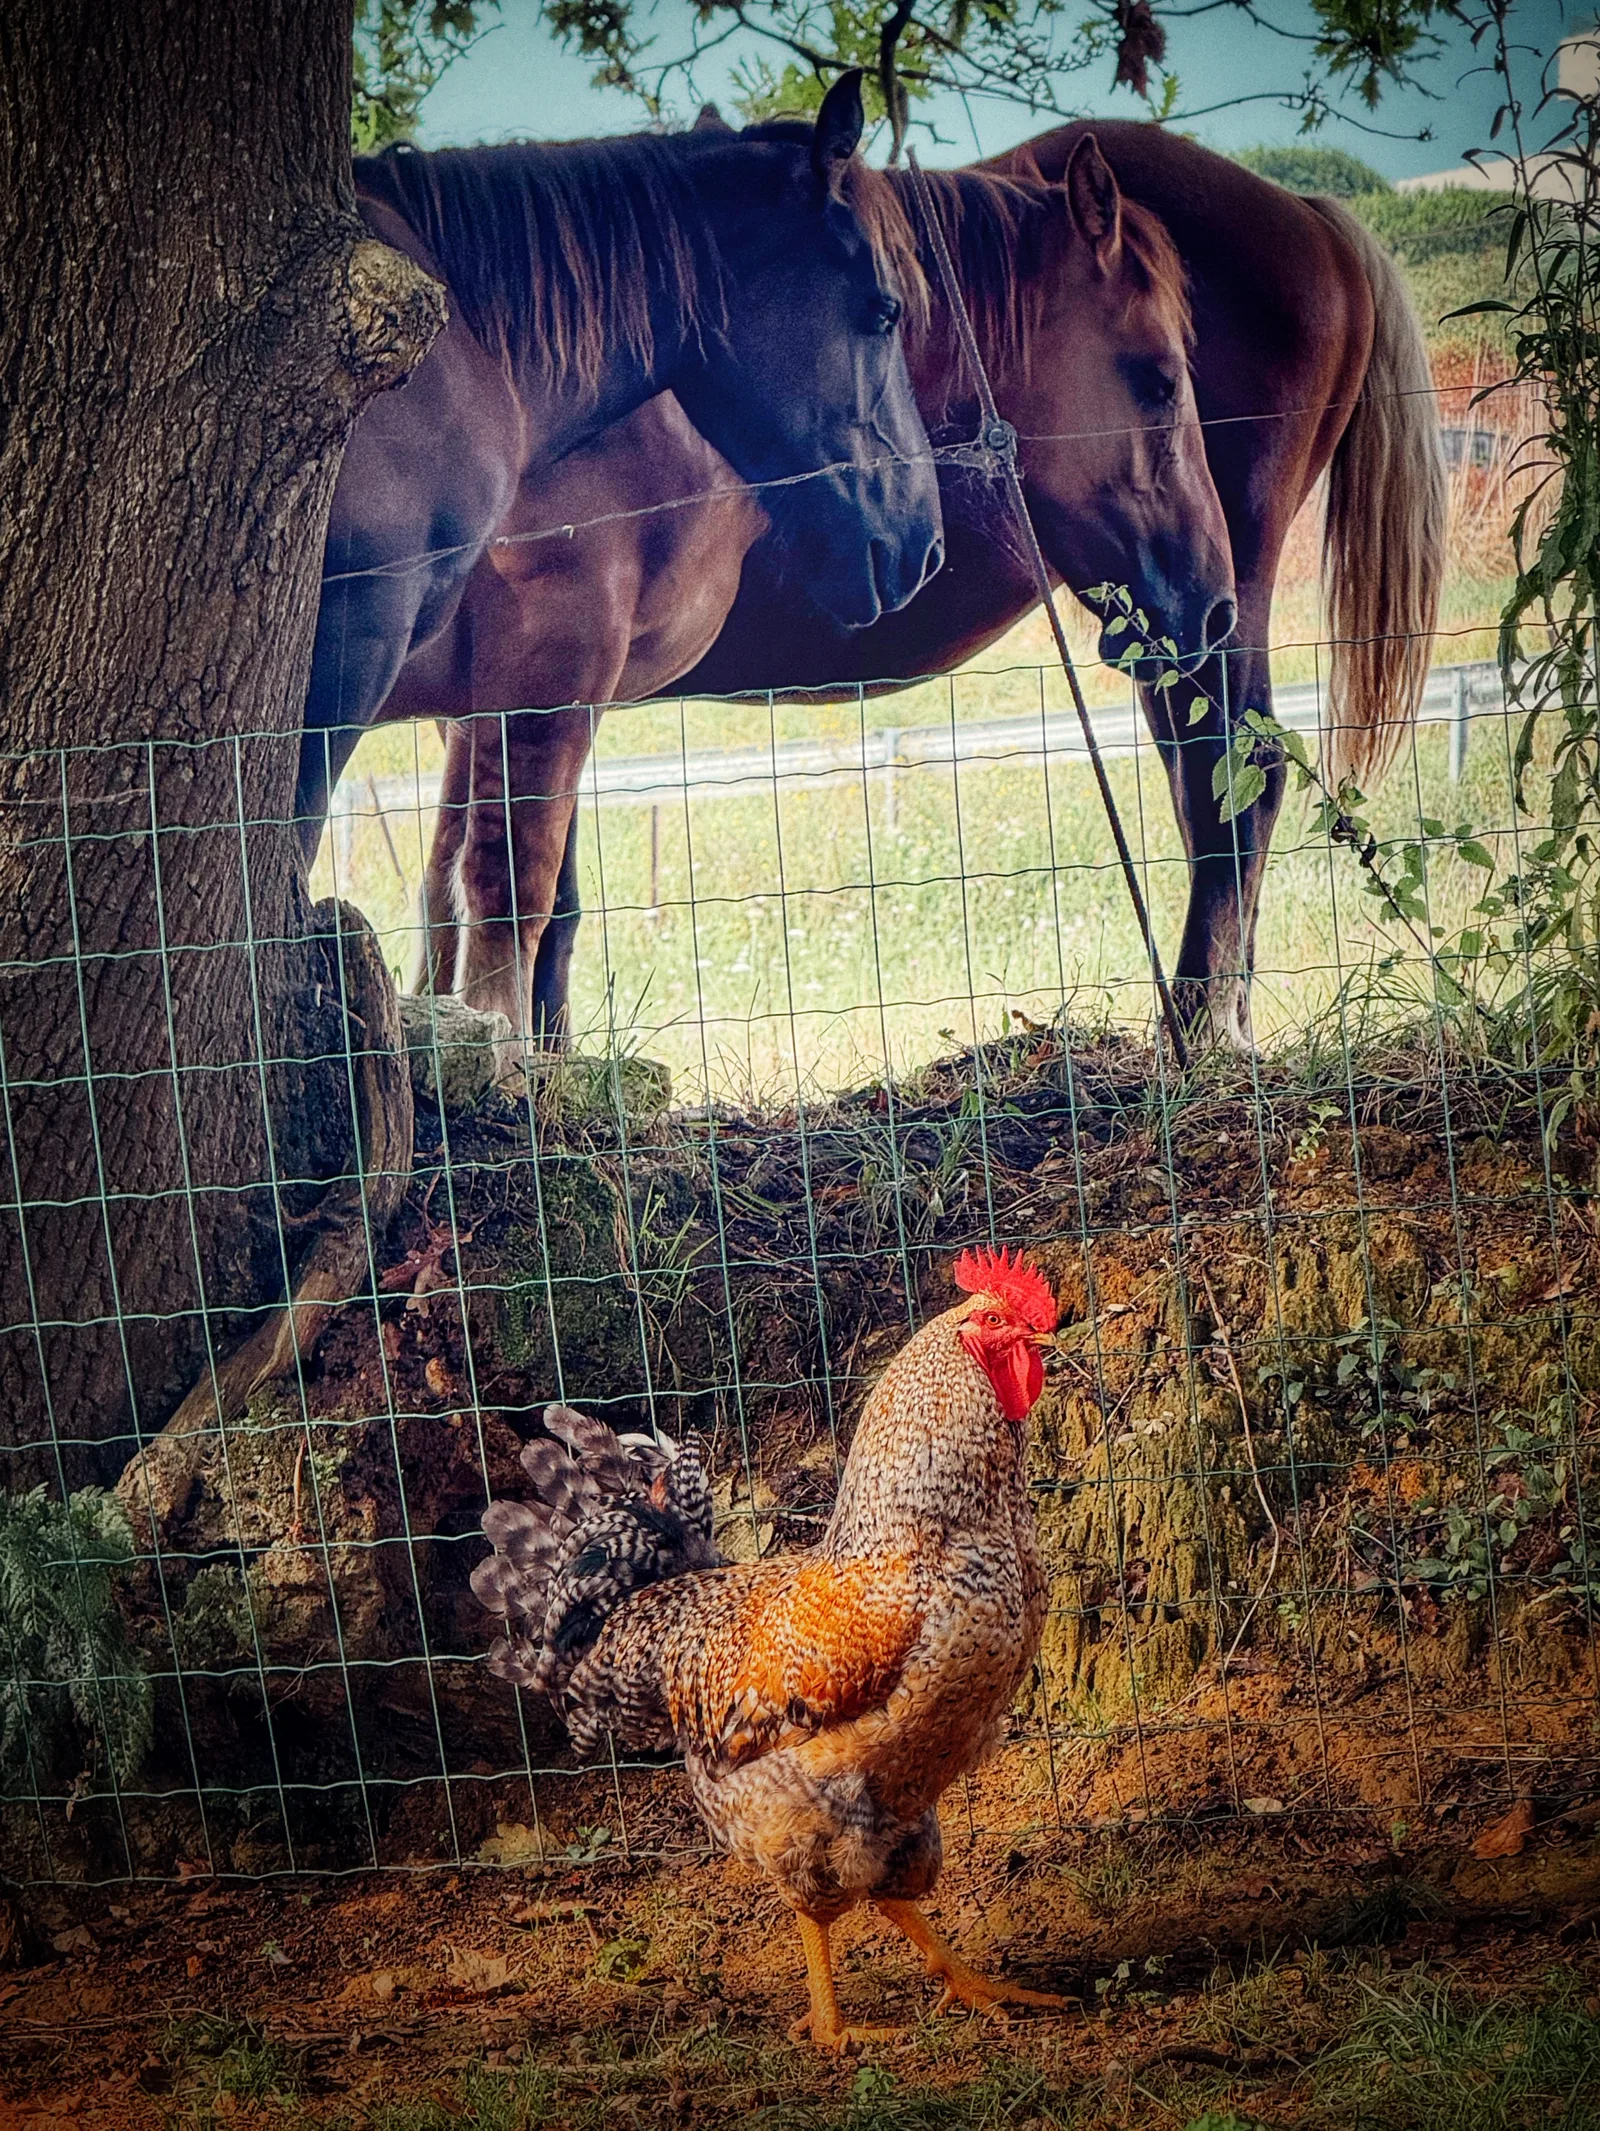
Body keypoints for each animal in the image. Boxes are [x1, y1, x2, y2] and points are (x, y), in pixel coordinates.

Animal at [393, 137, 1236, 1044]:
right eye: (1159, 381)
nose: (1216, 600)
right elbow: (502, 904)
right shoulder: (541, 684)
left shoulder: (484, 706)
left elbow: (450, 903)